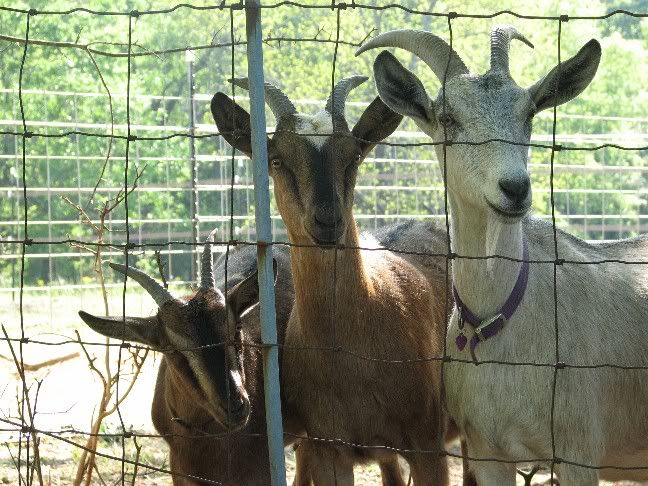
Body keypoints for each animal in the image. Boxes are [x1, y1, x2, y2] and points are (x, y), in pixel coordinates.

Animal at [359, 25, 648, 485]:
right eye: (448, 118)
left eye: (529, 114)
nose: (515, 188)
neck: (500, 317)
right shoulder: (486, 448)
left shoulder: (579, 450)